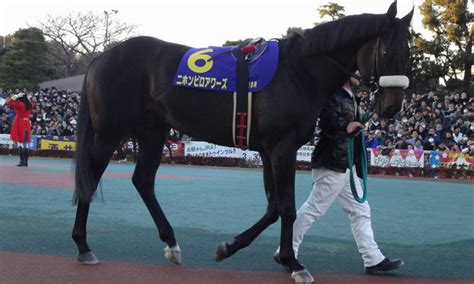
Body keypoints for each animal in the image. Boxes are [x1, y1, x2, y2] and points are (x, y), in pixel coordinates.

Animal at [72, 2, 412, 282]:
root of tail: (102, 56)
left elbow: (274, 207)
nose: (392, 106)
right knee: (91, 178)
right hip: (109, 133)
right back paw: (83, 245)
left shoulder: (268, 150)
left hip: (153, 132)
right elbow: (287, 207)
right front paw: (293, 263)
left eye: (408, 53)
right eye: (386, 52)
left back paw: (171, 243)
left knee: (142, 181)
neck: (299, 72)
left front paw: (230, 247)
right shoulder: (282, 147)